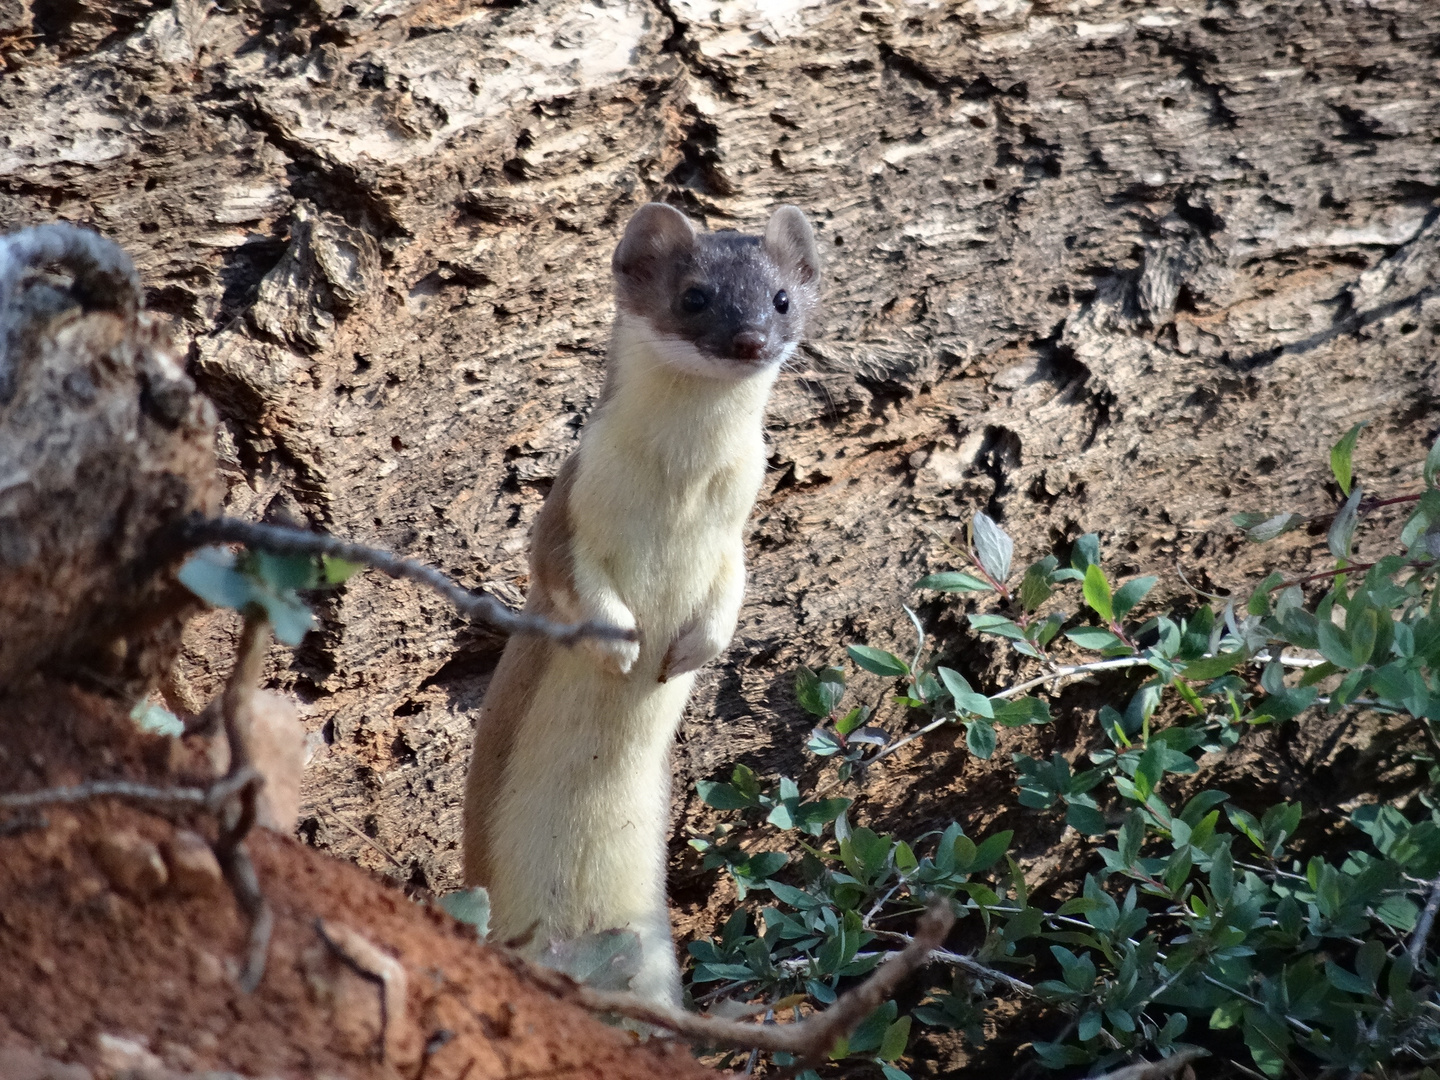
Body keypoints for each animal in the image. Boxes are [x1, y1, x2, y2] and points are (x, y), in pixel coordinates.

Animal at [463, 201, 823, 1008]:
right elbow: (570, 579)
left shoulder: (733, 535)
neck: (676, 497)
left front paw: (687, 652)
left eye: (782, 299)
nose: (751, 338)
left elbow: (731, 595)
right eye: (694, 295)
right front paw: (622, 644)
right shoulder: (569, 511)